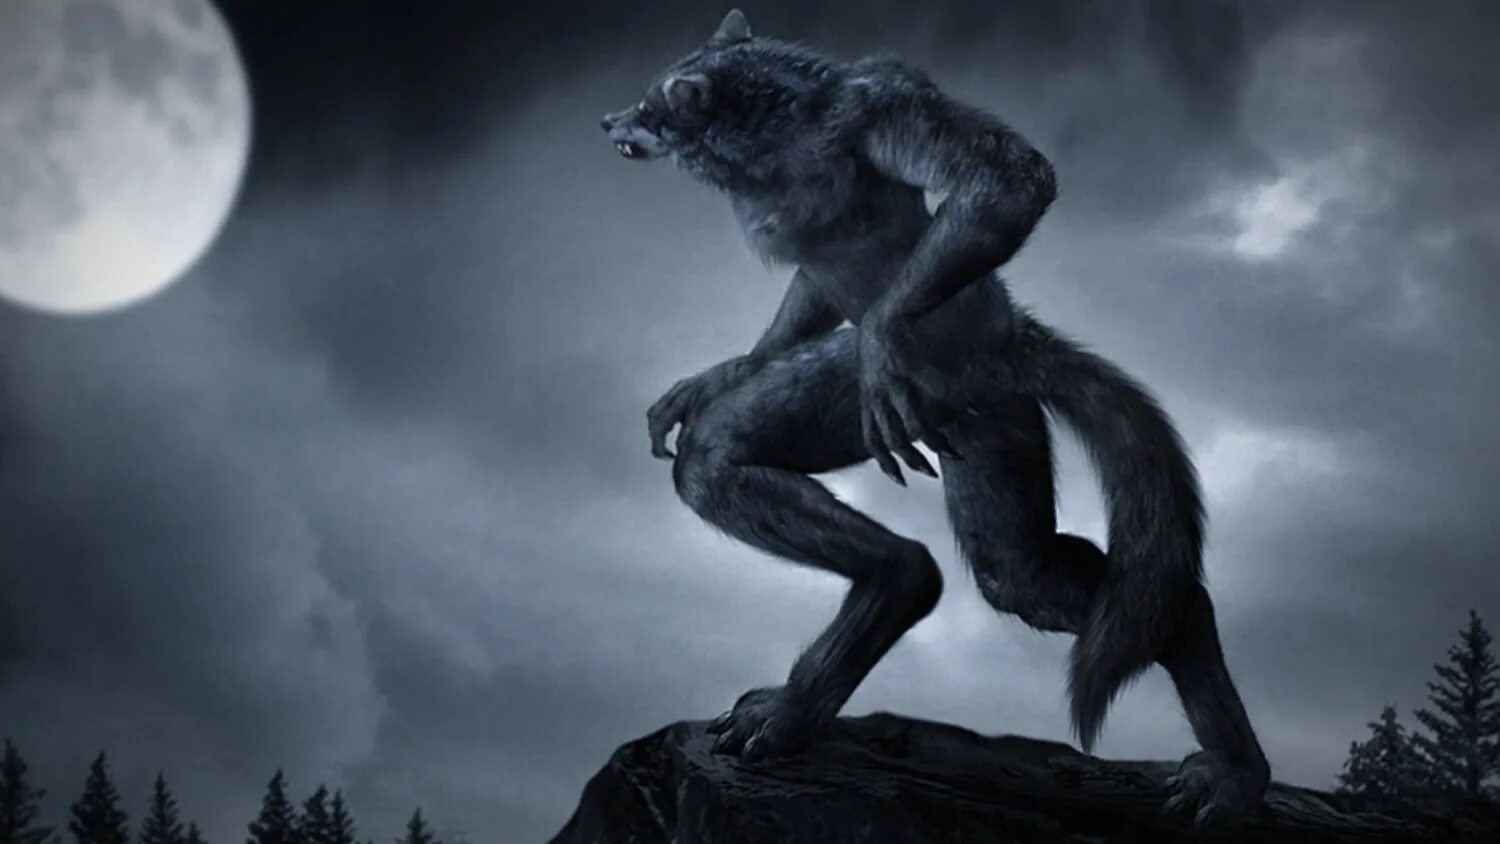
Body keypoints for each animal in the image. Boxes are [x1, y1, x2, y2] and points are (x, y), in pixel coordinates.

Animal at [601, 9, 1270, 824]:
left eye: (649, 104)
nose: (605, 121)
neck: (774, 136)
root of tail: (1017, 341)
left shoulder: (884, 109)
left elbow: (1010, 177)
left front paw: (884, 334)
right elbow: (787, 320)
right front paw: (716, 376)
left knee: (1151, 599)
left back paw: (1237, 776)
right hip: (980, 464)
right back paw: (809, 694)